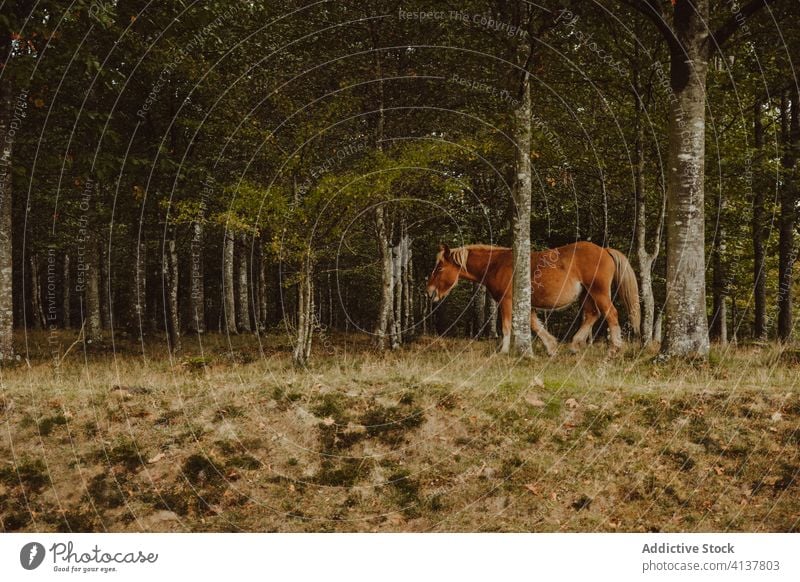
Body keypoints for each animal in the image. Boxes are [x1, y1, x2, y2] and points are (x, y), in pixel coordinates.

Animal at [424, 242, 644, 356]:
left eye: (440, 268)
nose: (429, 292)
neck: (497, 264)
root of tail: (604, 250)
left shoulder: (506, 301)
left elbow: (507, 326)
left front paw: (503, 351)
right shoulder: (524, 304)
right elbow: (534, 324)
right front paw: (551, 347)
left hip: (598, 291)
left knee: (611, 314)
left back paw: (614, 348)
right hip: (587, 294)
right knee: (592, 315)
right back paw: (574, 345)